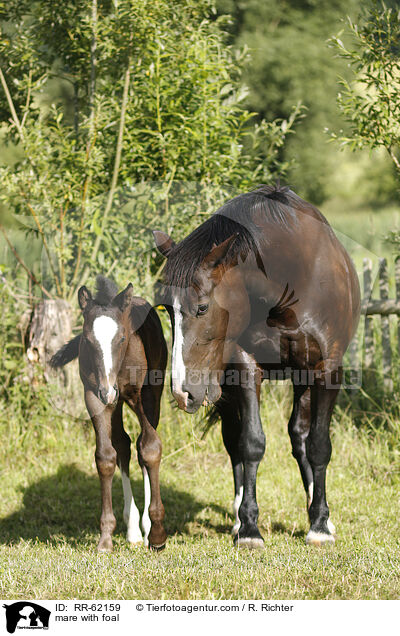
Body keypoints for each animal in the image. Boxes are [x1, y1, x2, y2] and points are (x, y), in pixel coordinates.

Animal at [51, 278, 167, 552]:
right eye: (87, 340)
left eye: (122, 337)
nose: (108, 390)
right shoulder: (94, 397)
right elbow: (105, 457)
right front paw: (105, 538)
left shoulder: (145, 396)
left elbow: (150, 449)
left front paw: (157, 535)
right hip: (116, 403)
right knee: (124, 444)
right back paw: (133, 530)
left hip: (147, 395)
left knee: (142, 447)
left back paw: (147, 527)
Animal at [155, 184, 360, 548]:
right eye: (166, 308)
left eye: (202, 307)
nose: (182, 392)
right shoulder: (245, 367)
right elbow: (250, 443)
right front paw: (249, 527)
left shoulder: (327, 369)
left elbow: (318, 445)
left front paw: (320, 525)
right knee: (234, 439)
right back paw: (240, 518)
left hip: (302, 378)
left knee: (300, 436)